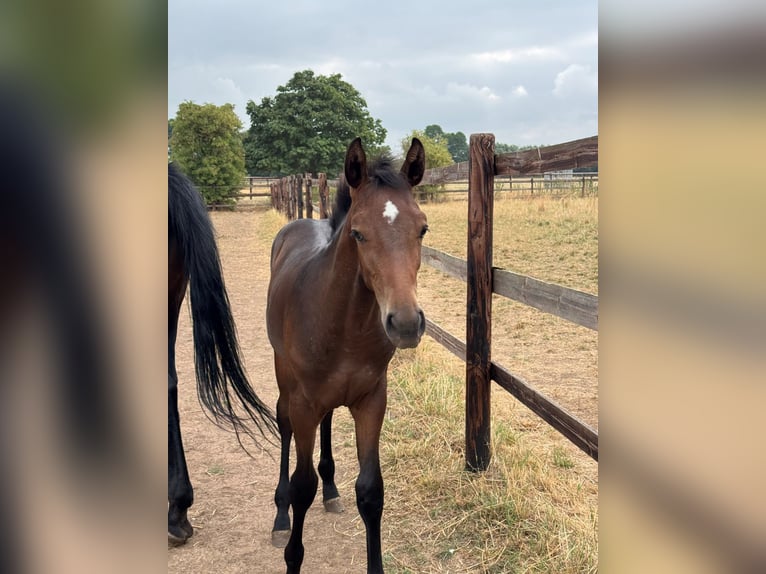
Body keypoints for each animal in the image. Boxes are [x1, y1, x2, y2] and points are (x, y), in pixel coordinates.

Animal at [266, 138, 428, 573]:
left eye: (423, 229)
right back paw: (280, 516)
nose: (405, 323)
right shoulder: (304, 403)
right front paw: (292, 556)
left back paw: (331, 488)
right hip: (286, 381)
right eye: (358, 233)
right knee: (283, 424)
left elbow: (371, 491)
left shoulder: (371, 399)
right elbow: (302, 486)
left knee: (327, 422)